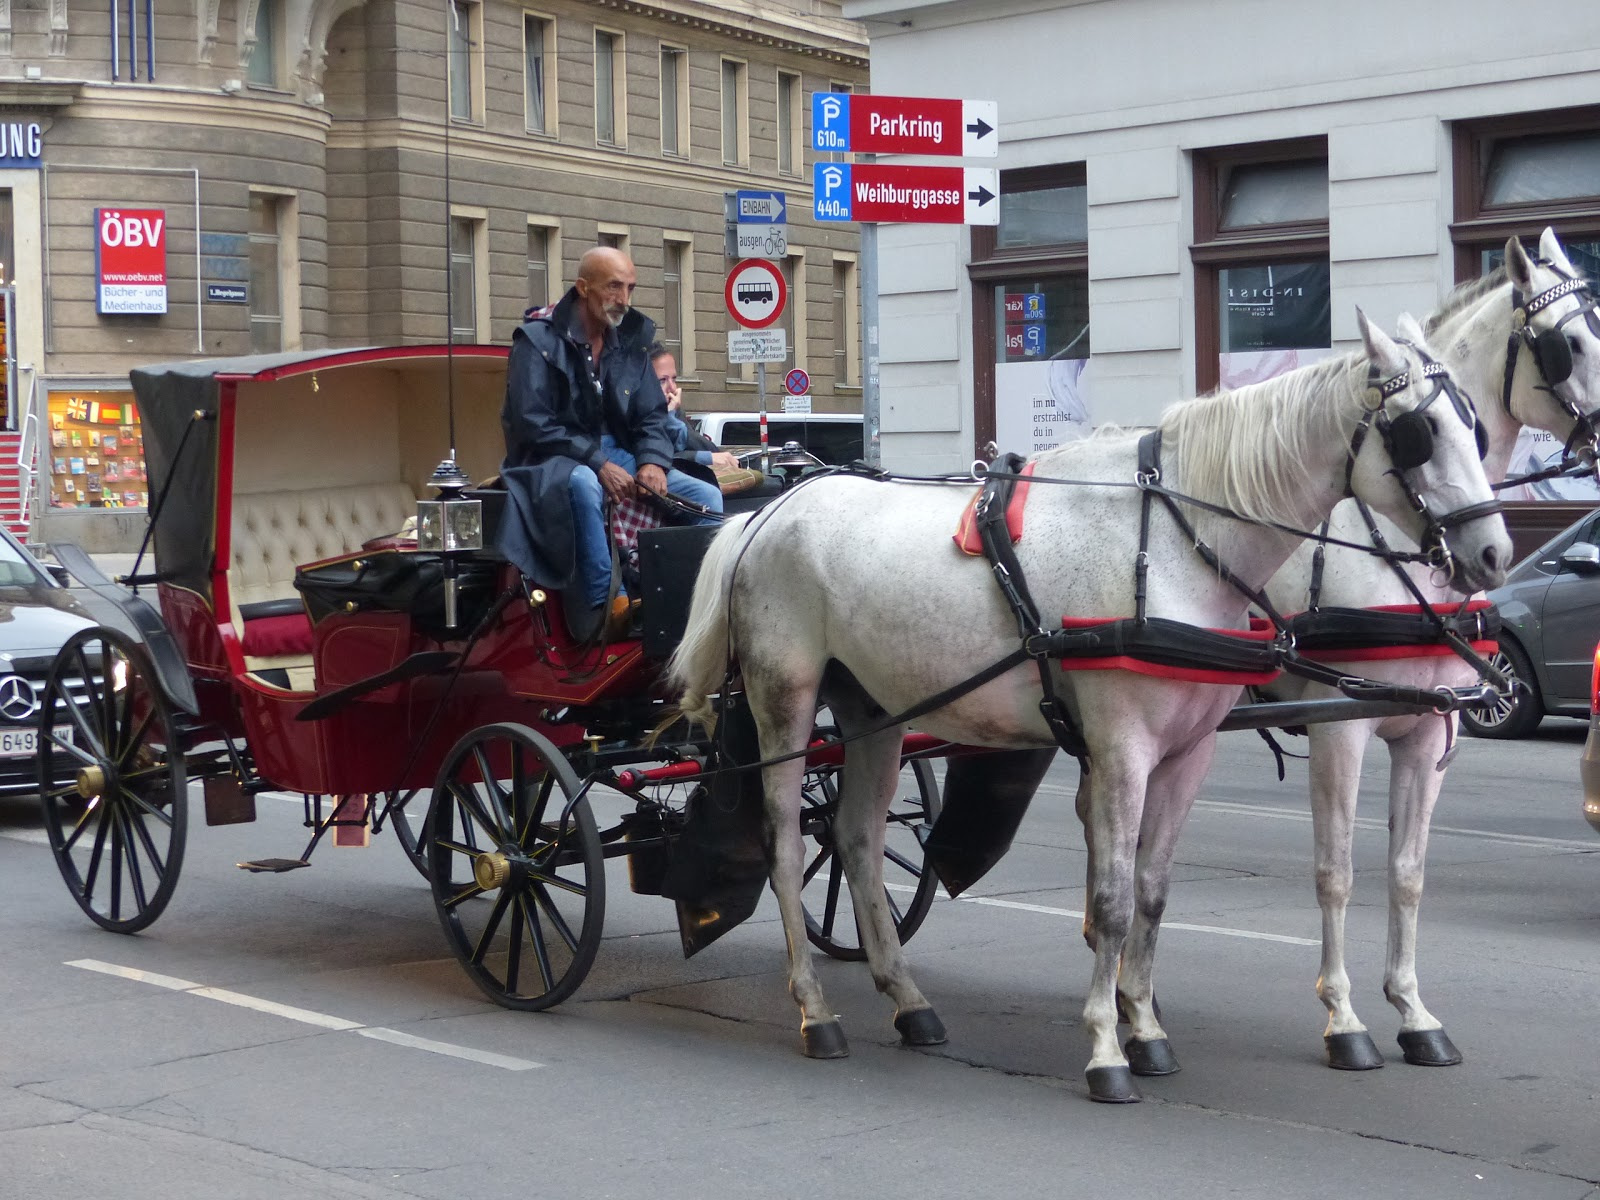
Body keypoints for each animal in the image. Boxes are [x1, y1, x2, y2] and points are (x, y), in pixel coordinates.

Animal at [672, 315, 1510, 1107]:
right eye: (1421, 433)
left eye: (1475, 425)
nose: (1495, 554)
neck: (1172, 542)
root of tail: (772, 510)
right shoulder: (1127, 750)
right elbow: (1111, 900)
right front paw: (1109, 1048)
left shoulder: (1190, 752)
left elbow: (1153, 891)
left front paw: (1146, 1028)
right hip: (786, 695)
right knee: (786, 846)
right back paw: (816, 1010)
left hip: (873, 705)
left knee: (855, 840)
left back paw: (909, 1002)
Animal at [1260, 232, 1600, 1068]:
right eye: (1568, 345)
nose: (1494, 556)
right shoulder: (1339, 730)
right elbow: (1338, 872)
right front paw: (1344, 1018)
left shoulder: (1429, 728)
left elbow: (1408, 872)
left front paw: (1413, 1011)